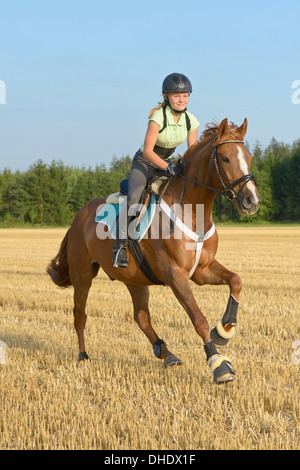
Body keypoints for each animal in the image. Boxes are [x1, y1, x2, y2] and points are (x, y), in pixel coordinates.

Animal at [47, 116, 260, 382]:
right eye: (225, 158)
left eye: (248, 157)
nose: (252, 201)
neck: (192, 211)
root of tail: (79, 216)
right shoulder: (175, 274)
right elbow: (198, 318)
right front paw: (219, 365)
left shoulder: (202, 270)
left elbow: (236, 280)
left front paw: (224, 330)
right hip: (82, 274)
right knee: (80, 315)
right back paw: (83, 356)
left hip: (134, 278)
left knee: (141, 317)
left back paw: (166, 353)